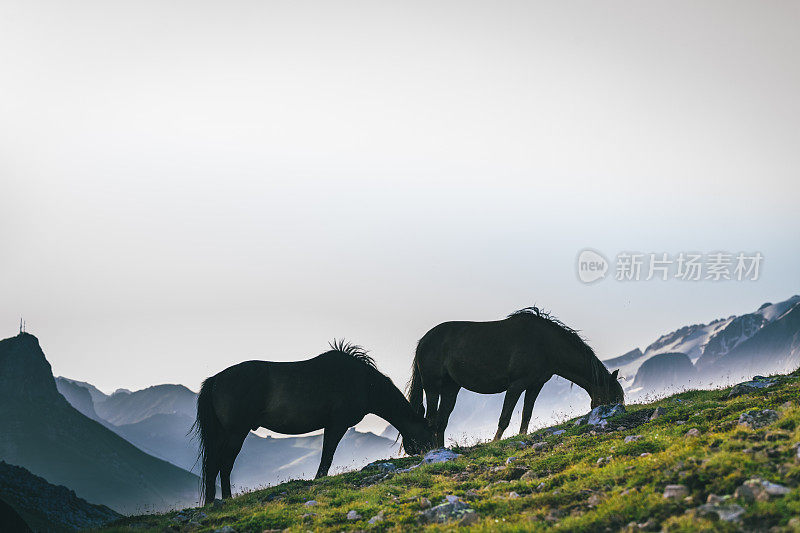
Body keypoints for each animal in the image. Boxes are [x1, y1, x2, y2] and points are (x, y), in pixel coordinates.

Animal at [193, 340, 434, 502]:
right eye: (428, 433)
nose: (430, 452)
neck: (362, 382)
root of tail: (215, 380)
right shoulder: (337, 425)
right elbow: (327, 454)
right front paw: (319, 479)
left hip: (222, 434)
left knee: (214, 466)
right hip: (236, 433)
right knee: (224, 464)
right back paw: (226, 499)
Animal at [406, 308, 624, 444]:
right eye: (612, 399)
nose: (618, 413)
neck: (546, 345)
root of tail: (423, 340)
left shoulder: (535, 385)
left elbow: (526, 415)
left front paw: (522, 437)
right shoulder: (516, 385)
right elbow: (505, 417)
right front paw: (494, 442)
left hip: (451, 388)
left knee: (441, 421)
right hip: (432, 387)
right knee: (432, 419)